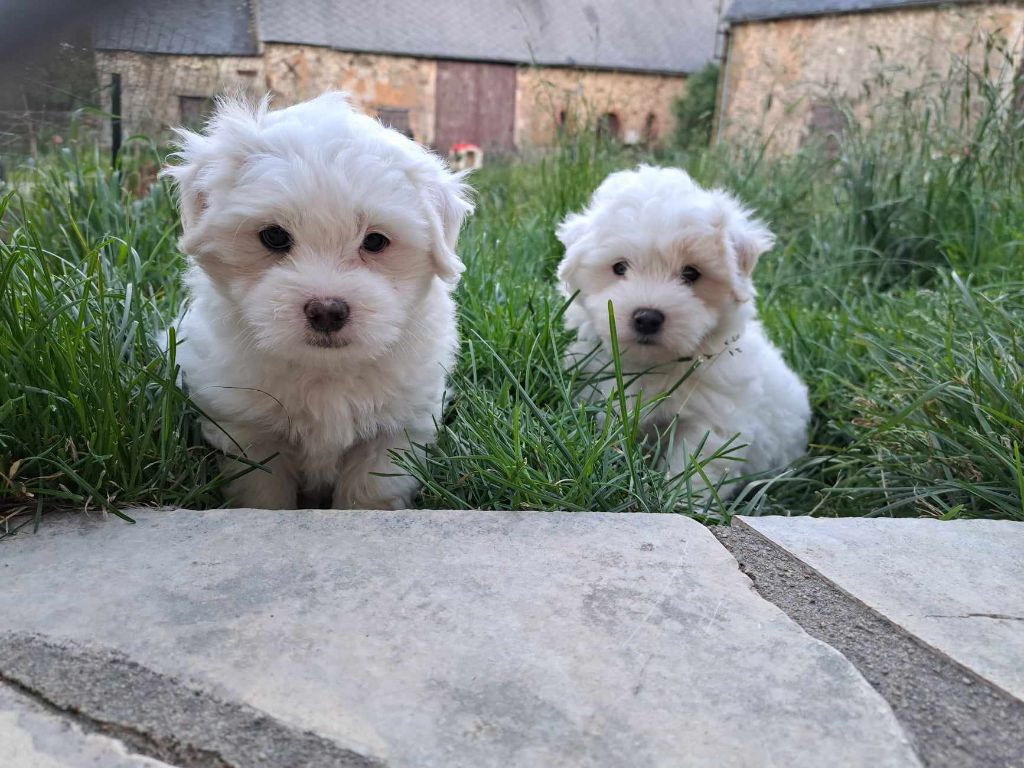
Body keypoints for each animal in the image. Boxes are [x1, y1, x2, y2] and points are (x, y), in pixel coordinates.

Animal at [162, 91, 471, 512]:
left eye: (375, 241)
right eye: (274, 236)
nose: (326, 310)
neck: (325, 371)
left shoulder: (395, 433)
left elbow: (370, 493)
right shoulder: (250, 431)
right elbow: (263, 494)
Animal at [557, 165, 811, 499]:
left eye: (691, 273)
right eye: (620, 268)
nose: (647, 318)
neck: (655, 365)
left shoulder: (710, 423)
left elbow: (693, 467)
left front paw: (678, 500)